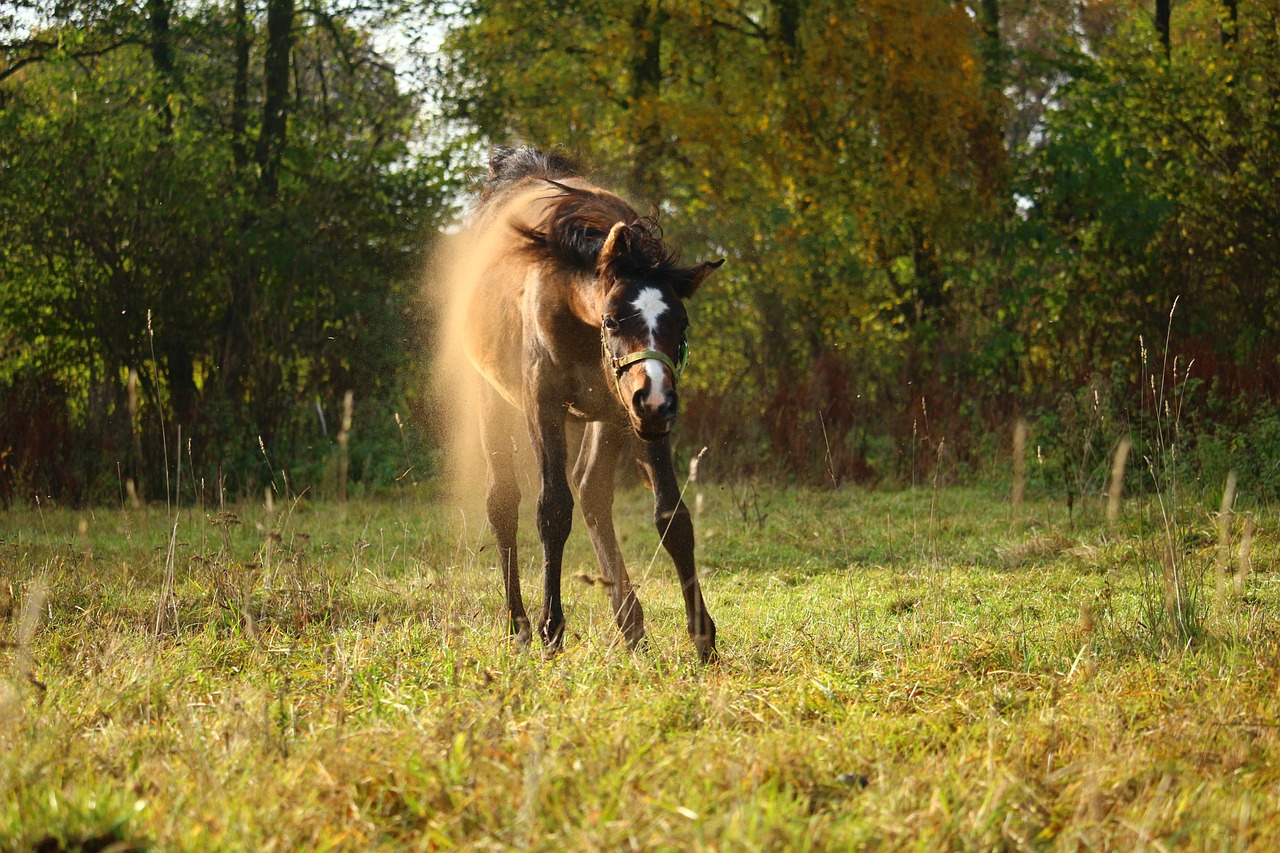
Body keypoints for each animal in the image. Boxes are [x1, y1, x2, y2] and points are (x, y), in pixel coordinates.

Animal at [458, 147, 727, 655]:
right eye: (612, 320)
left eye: (681, 323)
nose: (656, 397)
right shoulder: (542, 403)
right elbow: (551, 510)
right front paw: (551, 628)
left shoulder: (640, 418)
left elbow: (672, 515)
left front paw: (703, 637)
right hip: (493, 402)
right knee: (504, 503)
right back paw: (519, 625)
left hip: (612, 414)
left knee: (591, 488)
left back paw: (631, 623)